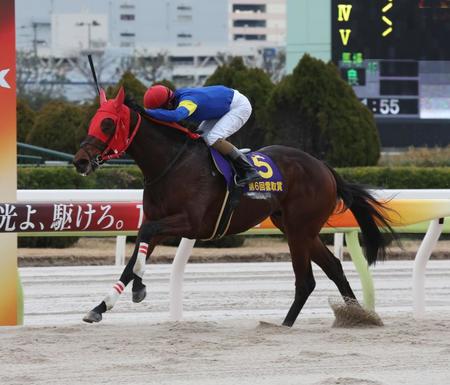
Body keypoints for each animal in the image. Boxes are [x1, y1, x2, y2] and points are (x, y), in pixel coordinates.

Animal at [74, 86, 394, 324]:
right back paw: (359, 317)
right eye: (93, 121)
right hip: (298, 228)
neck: (171, 164)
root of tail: (325, 168)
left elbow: (144, 237)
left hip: (300, 230)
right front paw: (101, 306)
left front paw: (139, 289)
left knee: (306, 281)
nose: (80, 161)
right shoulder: (159, 221)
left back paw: (285, 324)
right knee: (334, 268)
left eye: (107, 123)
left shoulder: (189, 222)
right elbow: (133, 258)